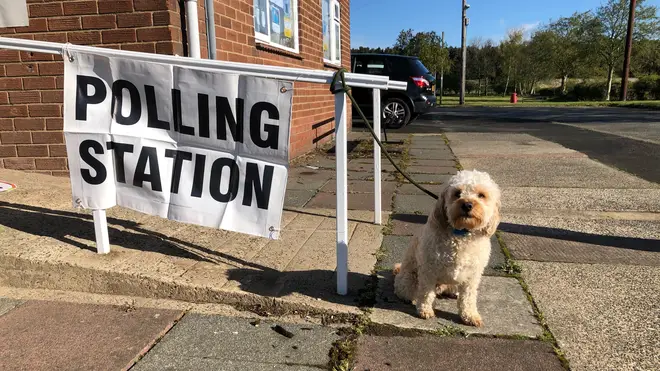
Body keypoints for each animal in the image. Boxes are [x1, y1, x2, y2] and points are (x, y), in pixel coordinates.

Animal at [392, 170, 500, 326]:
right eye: (457, 193)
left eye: (481, 195)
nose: (467, 205)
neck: (461, 234)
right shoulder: (429, 271)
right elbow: (426, 293)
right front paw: (425, 310)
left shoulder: (472, 276)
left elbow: (468, 297)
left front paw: (470, 315)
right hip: (408, 281)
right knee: (410, 291)